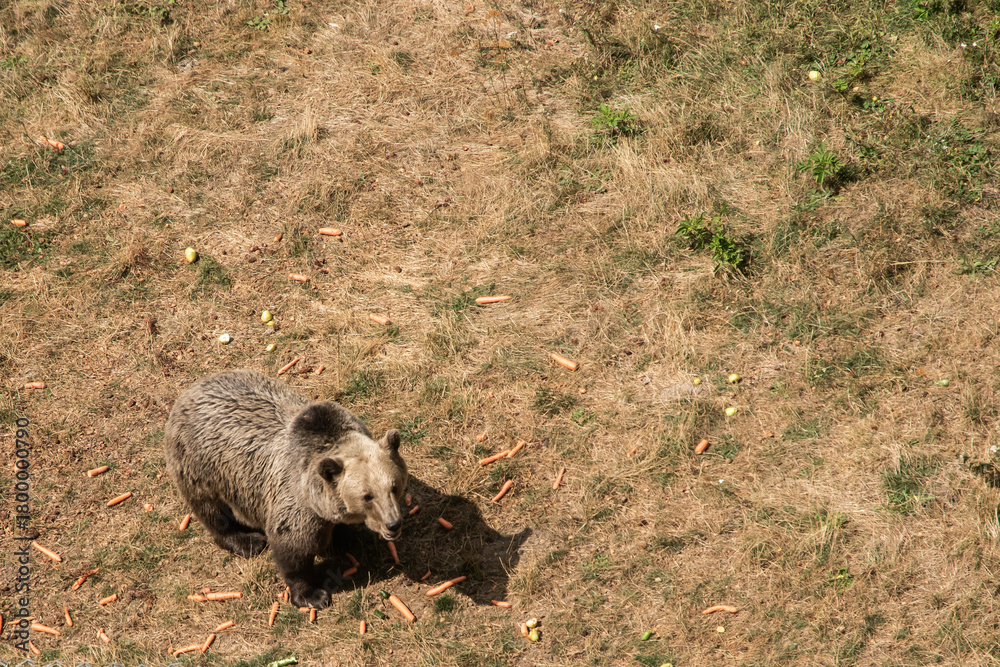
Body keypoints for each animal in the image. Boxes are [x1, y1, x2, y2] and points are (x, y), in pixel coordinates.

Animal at [163, 369, 407, 609]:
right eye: (367, 496)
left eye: (394, 487)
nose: (393, 524)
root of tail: (190, 390)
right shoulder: (294, 498)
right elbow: (292, 547)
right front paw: (312, 595)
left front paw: (344, 540)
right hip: (204, 467)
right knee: (213, 511)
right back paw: (247, 541)